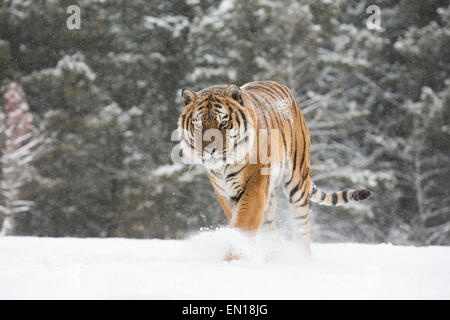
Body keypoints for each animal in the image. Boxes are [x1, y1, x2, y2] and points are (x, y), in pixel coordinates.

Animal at [178, 80, 370, 258]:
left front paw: (233, 258)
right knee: (269, 227)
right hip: (269, 196)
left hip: (297, 181)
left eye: (223, 123)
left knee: (301, 227)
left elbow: (242, 226)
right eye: (198, 125)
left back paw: (302, 258)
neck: (223, 166)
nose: (209, 151)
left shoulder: (253, 188)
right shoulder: (225, 193)